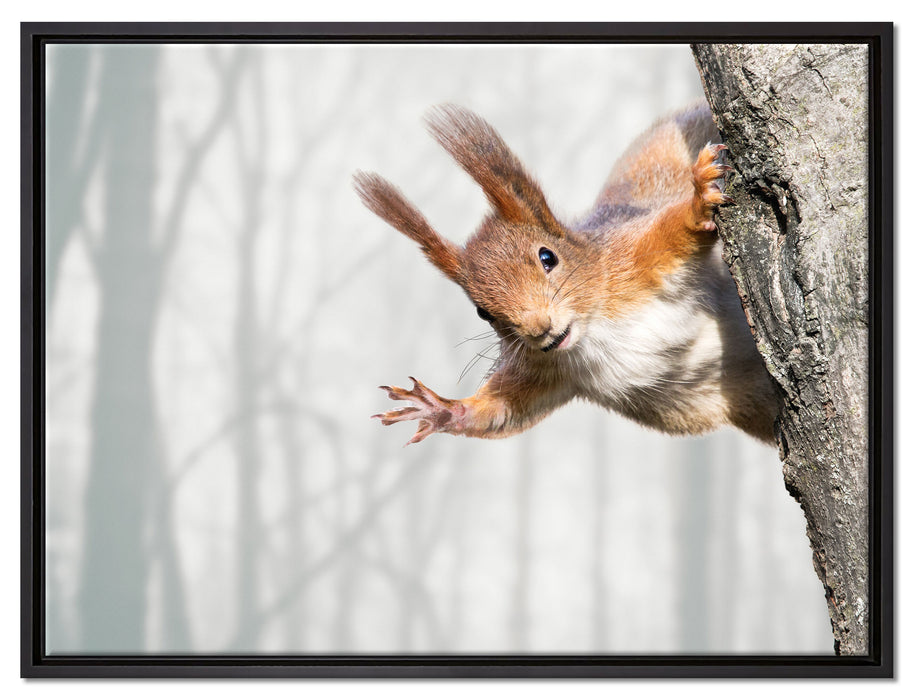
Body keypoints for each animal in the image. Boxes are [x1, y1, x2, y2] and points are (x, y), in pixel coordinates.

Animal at [354, 102, 778, 446]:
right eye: (482, 312)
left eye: (548, 257)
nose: (540, 330)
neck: (593, 330)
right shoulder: (546, 369)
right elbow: (503, 411)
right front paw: (440, 408)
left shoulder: (632, 259)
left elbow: (673, 231)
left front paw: (698, 201)